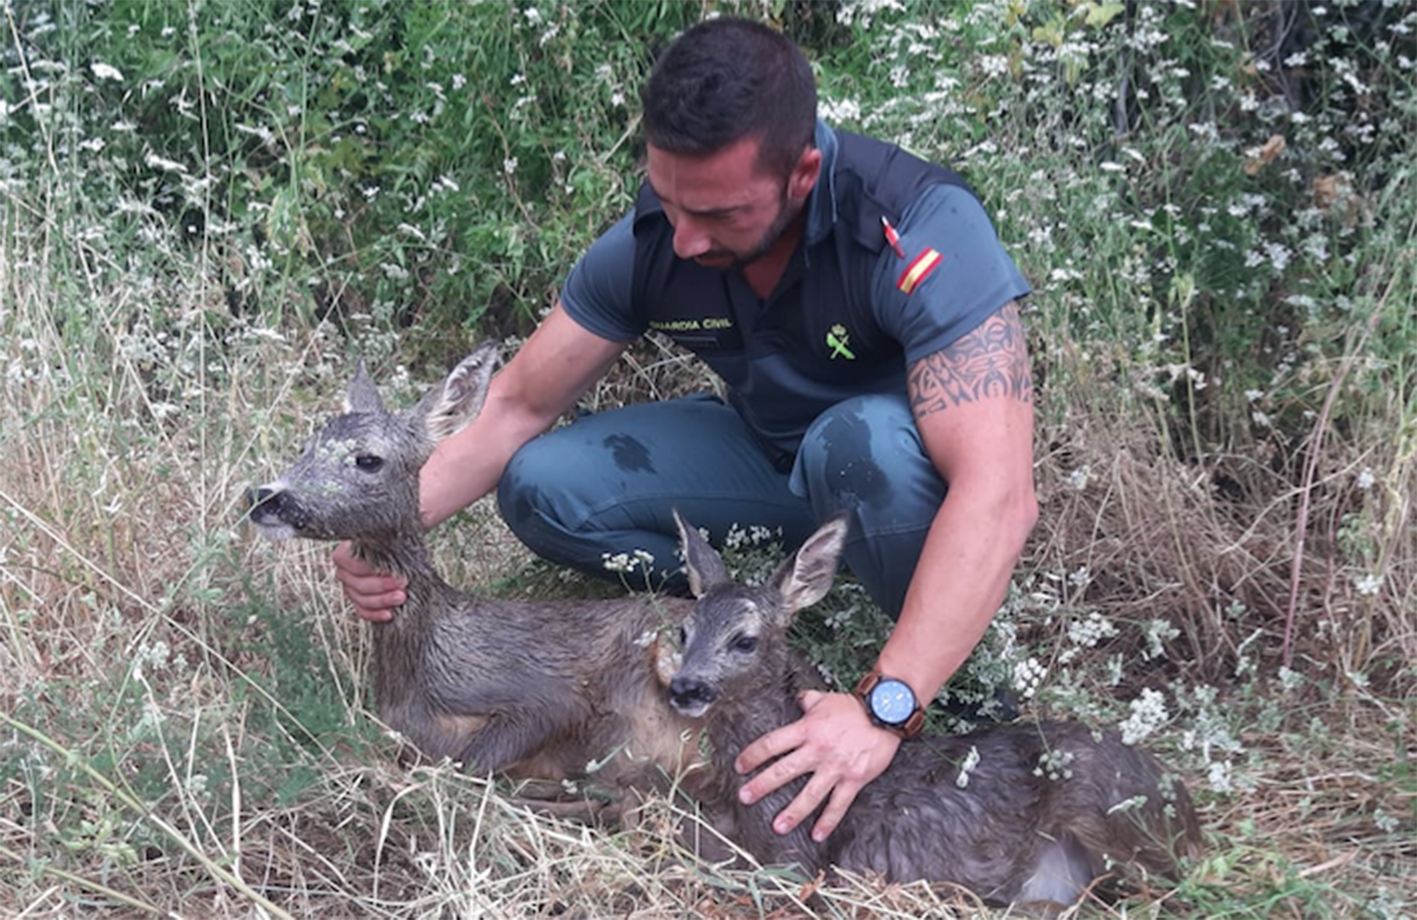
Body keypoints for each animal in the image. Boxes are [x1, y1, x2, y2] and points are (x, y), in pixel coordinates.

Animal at [668, 510, 1201, 912]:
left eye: (744, 640)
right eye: (683, 631)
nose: (684, 687)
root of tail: (1186, 807)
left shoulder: (795, 856)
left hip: (1107, 809)